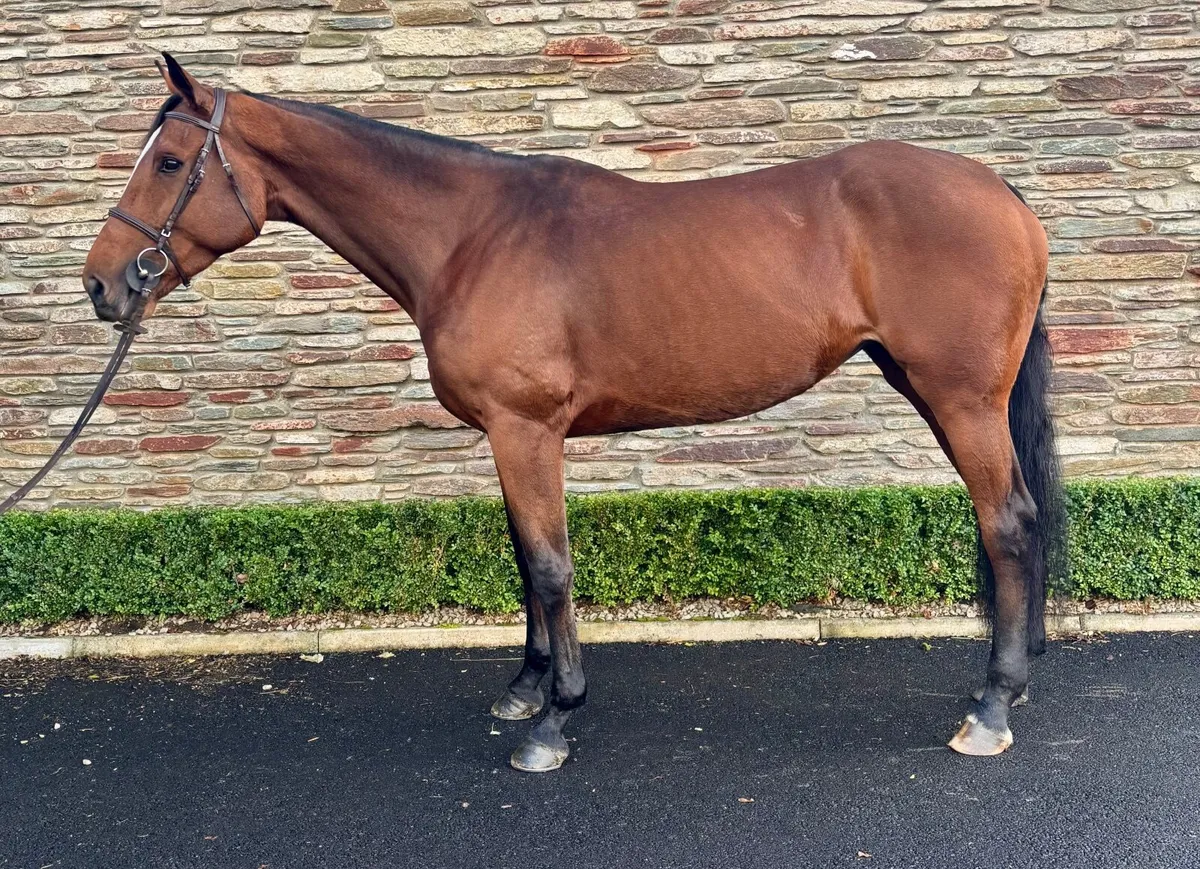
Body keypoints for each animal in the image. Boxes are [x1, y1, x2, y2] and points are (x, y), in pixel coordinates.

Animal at [83, 54, 1066, 773]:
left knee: (1009, 524)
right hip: (930, 389)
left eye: (168, 161)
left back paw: (991, 705)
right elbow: (525, 561)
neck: (470, 235)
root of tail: (1004, 195)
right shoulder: (508, 437)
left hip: (961, 399)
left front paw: (552, 722)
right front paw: (524, 688)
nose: (101, 286)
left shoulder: (527, 431)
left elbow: (552, 567)